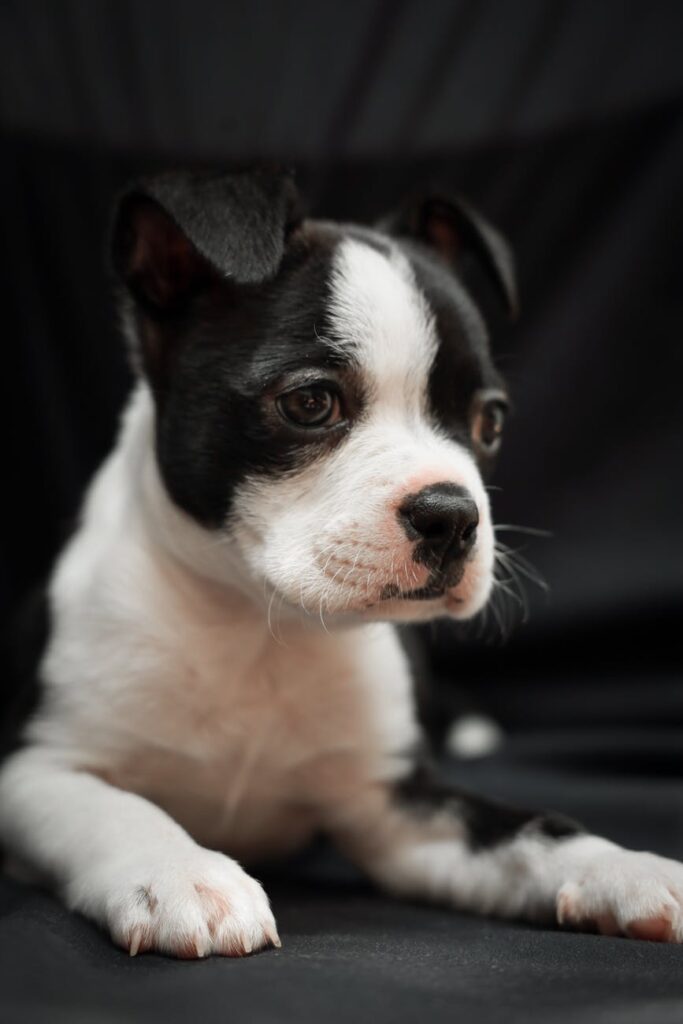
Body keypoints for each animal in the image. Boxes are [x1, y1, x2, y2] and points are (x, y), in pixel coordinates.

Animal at [1, 167, 683, 958]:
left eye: (490, 422)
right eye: (309, 403)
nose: (452, 515)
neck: (256, 626)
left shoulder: (401, 812)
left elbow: (535, 831)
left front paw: (625, 868)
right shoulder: (34, 766)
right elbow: (112, 807)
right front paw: (182, 872)